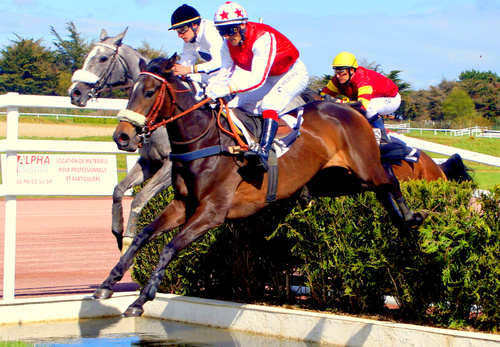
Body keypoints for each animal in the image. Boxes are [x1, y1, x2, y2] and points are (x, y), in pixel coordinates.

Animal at [69, 28, 172, 254]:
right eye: (86, 56)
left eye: (103, 58)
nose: (75, 92)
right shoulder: (149, 163)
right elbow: (118, 189)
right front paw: (118, 231)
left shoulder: (170, 166)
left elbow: (140, 197)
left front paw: (128, 239)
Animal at [93, 55, 426, 318]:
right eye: (130, 91)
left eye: (149, 92)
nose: (122, 136)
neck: (205, 142)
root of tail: (351, 108)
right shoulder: (182, 205)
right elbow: (143, 236)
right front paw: (108, 283)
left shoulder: (211, 213)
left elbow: (169, 247)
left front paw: (140, 299)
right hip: (337, 181)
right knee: (379, 190)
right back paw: (399, 220)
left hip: (363, 170)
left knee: (389, 180)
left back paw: (411, 217)